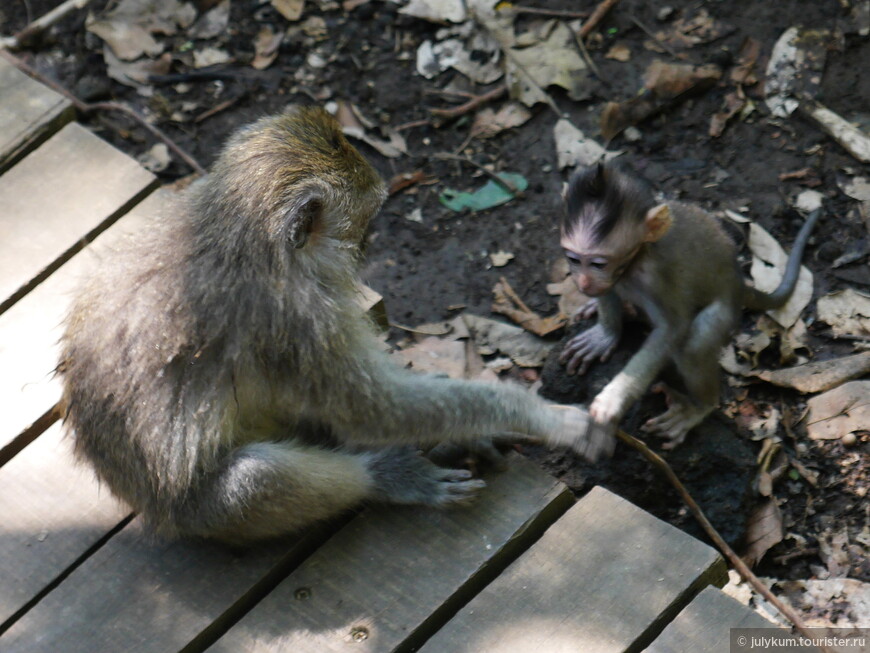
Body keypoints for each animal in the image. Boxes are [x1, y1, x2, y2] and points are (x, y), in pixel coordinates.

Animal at [61, 107, 608, 544]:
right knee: (252, 482)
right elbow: (376, 413)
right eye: (367, 220)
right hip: (194, 516)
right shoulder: (297, 321)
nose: (368, 247)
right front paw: (541, 416)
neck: (237, 235)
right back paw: (383, 475)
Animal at [564, 161, 820, 450]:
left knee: (694, 344)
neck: (634, 261)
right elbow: (608, 294)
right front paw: (603, 335)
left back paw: (700, 407)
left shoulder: (655, 276)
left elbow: (673, 328)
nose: (583, 283)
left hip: (724, 309)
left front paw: (614, 399)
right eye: (573, 259)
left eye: (599, 263)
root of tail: (738, 283)